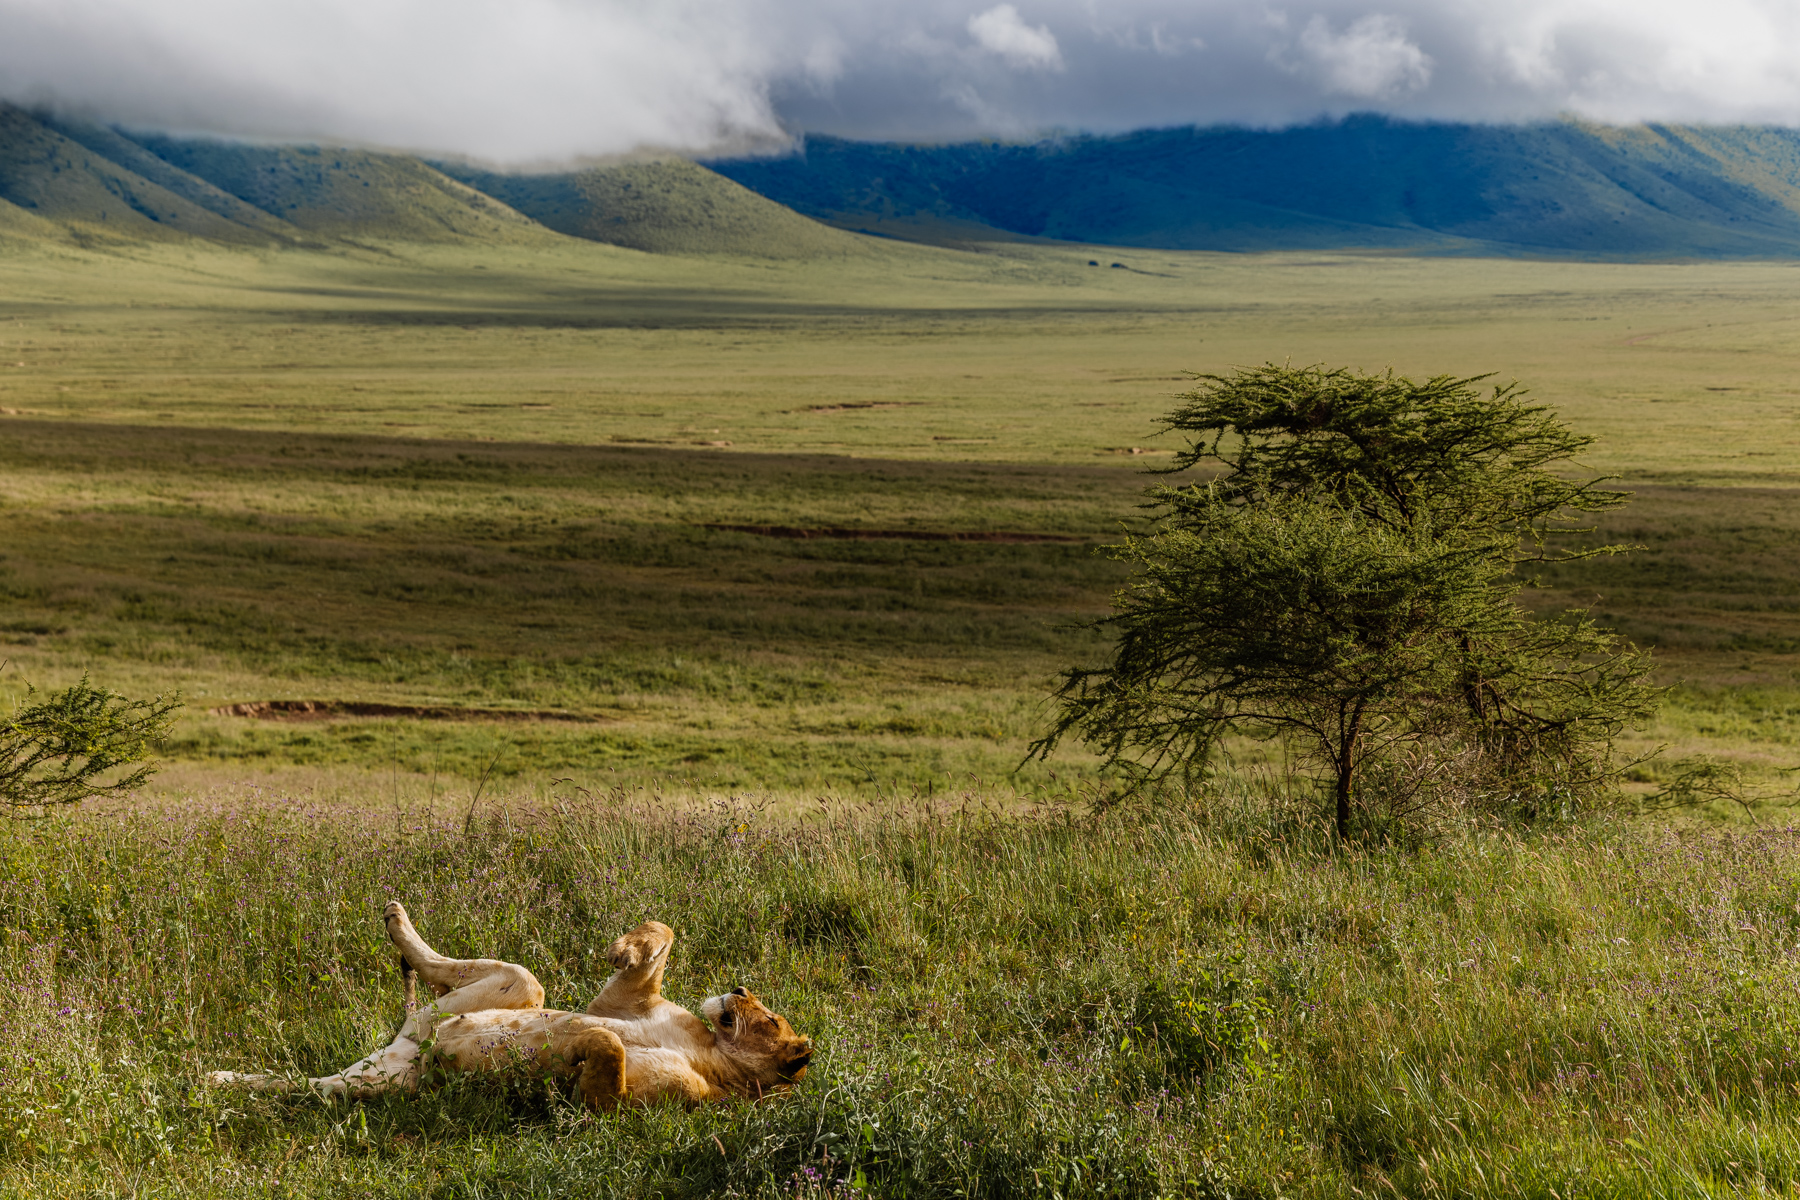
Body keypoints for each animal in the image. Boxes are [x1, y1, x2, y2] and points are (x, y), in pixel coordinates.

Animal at [207, 901, 812, 1109]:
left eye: (770, 1019)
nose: (739, 989)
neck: (711, 1052)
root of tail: (401, 1047)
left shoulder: (624, 1105)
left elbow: (609, 1047)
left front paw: (558, 1047)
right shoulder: (623, 999)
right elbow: (661, 933)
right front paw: (625, 946)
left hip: (380, 1085)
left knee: (303, 1088)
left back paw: (214, 1080)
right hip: (510, 989)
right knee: (512, 976)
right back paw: (397, 922)